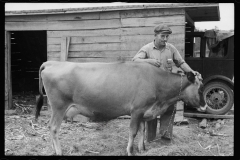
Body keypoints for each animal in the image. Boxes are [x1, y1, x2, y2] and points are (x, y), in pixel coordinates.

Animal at [35, 60, 206, 155]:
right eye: (200, 89)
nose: (204, 106)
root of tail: (52, 62)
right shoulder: (136, 110)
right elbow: (133, 132)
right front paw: (130, 151)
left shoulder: (143, 111)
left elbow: (142, 130)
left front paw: (142, 149)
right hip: (59, 106)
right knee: (54, 128)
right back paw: (59, 151)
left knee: (50, 126)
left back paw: (53, 149)